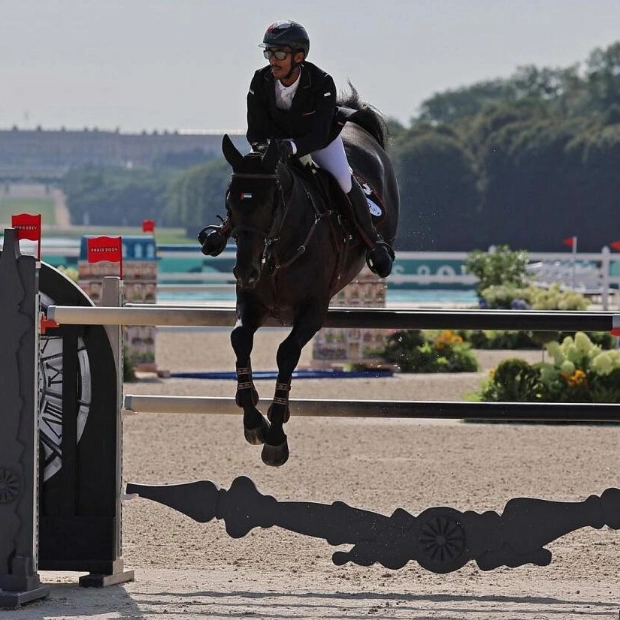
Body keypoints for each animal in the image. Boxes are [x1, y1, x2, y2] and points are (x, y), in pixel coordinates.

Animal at [220, 91, 400, 464]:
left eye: (271, 202)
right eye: (230, 202)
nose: (245, 271)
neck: (277, 252)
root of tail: (354, 119)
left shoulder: (314, 309)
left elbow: (287, 353)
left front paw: (275, 435)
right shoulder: (251, 301)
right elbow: (240, 340)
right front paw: (252, 419)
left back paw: (380, 254)